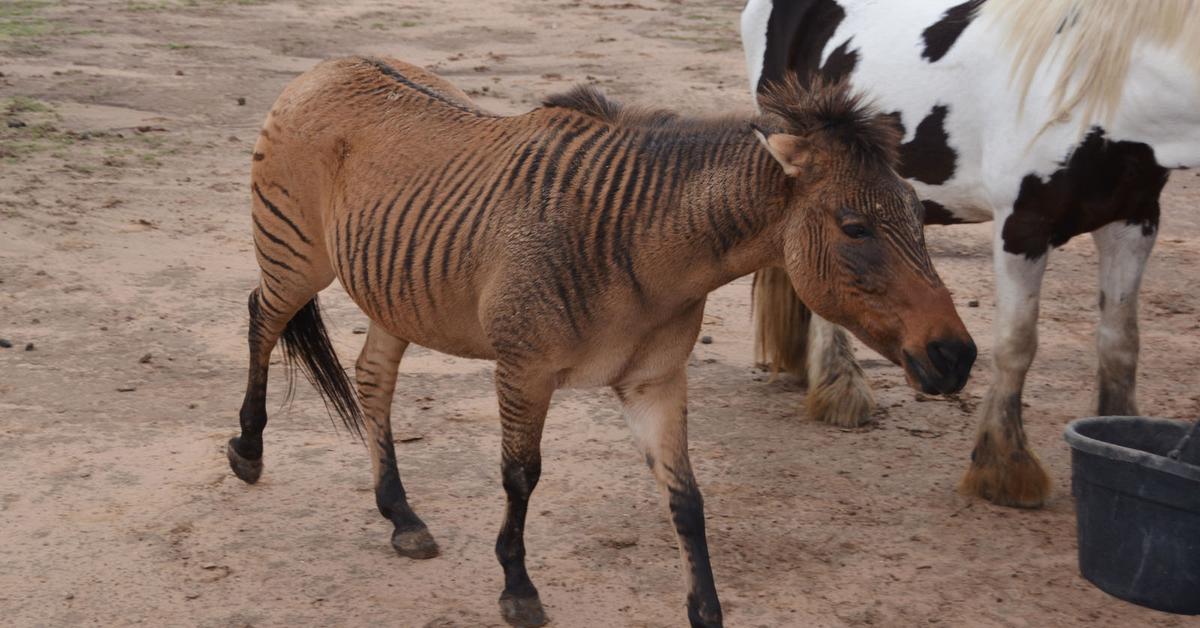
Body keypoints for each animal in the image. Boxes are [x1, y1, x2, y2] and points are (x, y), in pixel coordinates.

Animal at [739, 0, 1200, 509]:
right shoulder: (1022, 227)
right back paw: (840, 389)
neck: (1098, 89)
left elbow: (1120, 344)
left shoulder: (1133, 222)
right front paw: (1005, 467)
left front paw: (1113, 431)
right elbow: (1016, 345)